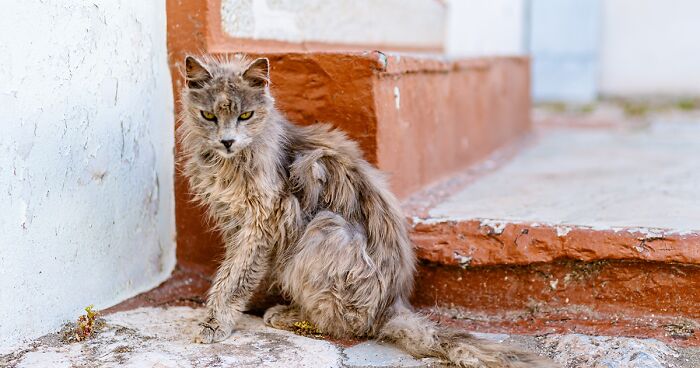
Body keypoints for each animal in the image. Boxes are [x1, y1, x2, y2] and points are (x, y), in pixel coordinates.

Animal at [178, 54, 556, 368]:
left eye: (246, 116)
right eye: (209, 116)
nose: (227, 141)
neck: (228, 164)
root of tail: (392, 304)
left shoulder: (261, 221)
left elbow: (236, 277)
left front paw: (215, 322)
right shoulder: (236, 222)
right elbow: (234, 272)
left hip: (327, 228)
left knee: (347, 325)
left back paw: (287, 314)